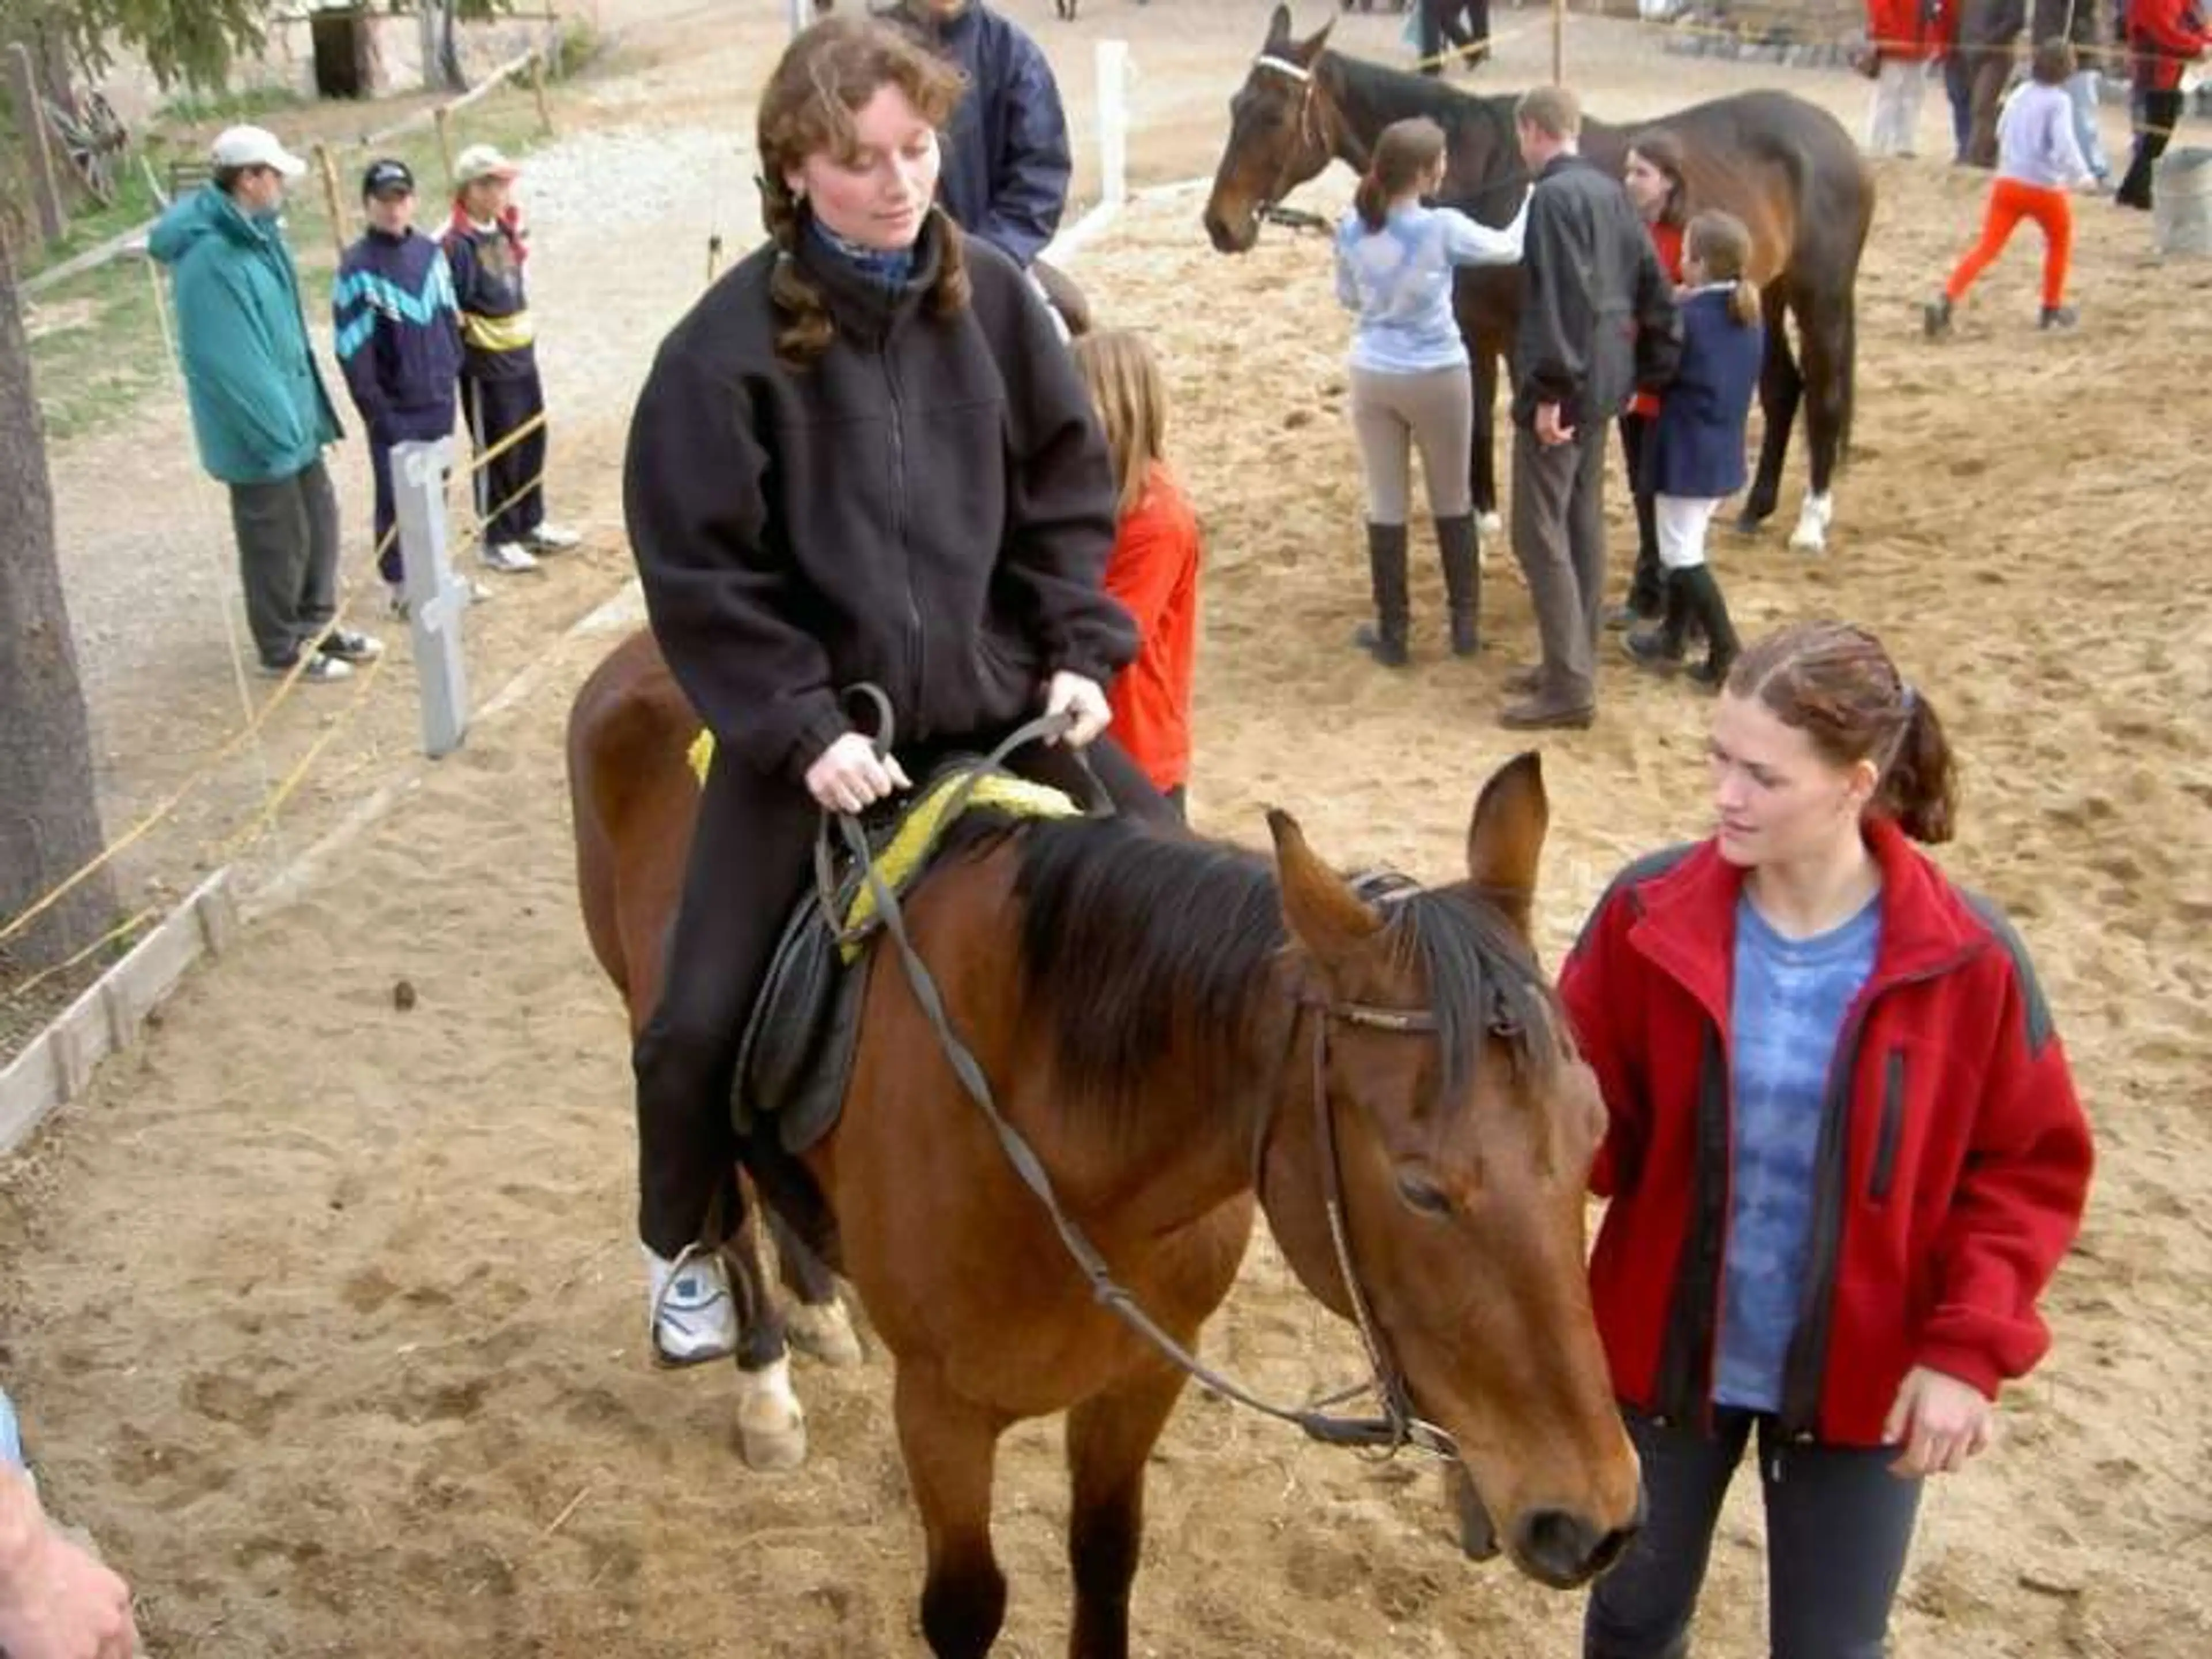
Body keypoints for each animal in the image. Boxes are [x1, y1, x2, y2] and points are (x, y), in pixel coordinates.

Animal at [570, 628, 1645, 1654]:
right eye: (1421, 1189)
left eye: (1594, 1132)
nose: (1593, 1520)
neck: (1066, 1156)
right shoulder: (941, 1413)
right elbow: (966, 1606)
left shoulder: (1144, 1376)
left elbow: (1105, 1556)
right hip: (652, 1007)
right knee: (715, 1170)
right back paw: (762, 1378)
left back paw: (823, 1306)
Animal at [1203, 1, 1876, 559]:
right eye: (1235, 107)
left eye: (1273, 115)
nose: (1220, 224)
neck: (1482, 173)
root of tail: (1830, 136)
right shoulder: (1477, 331)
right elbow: (1477, 421)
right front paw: (1482, 525)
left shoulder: (1513, 336)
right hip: (1767, 290)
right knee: (1784, 388)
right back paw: (1756, 509)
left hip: (1819, 297)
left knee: (1823, 393)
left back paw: (1810, 523)